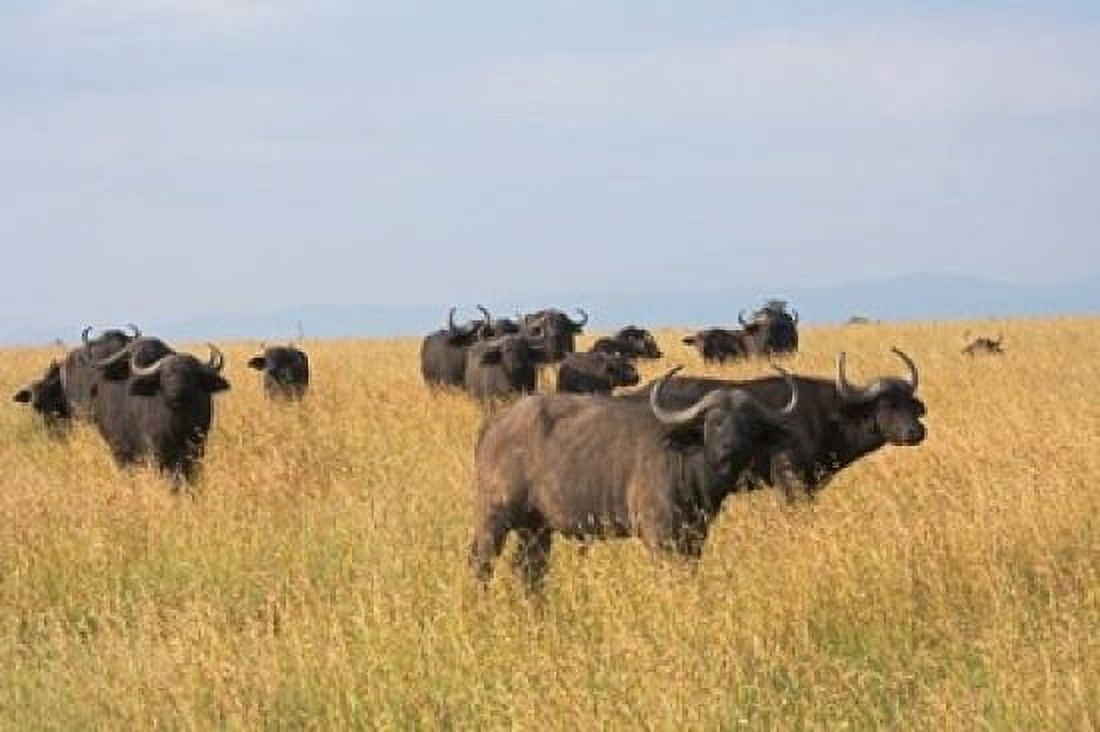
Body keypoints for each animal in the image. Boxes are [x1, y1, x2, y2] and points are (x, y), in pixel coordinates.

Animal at [89, 340, 229, 484]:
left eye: (189, 374)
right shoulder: (154, 449)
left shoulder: (197, 444)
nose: (175, 392)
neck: (177, 423)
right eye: (165, 375)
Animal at [470, 365, 799, 590]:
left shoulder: (695, 537)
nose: (731, 450)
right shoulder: (659, 536)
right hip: (494, 517)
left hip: (536, 528)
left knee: (529, 571)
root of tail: (494, 425)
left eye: (748, 424)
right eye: (714, 421)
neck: (686, 463)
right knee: (481, 562)